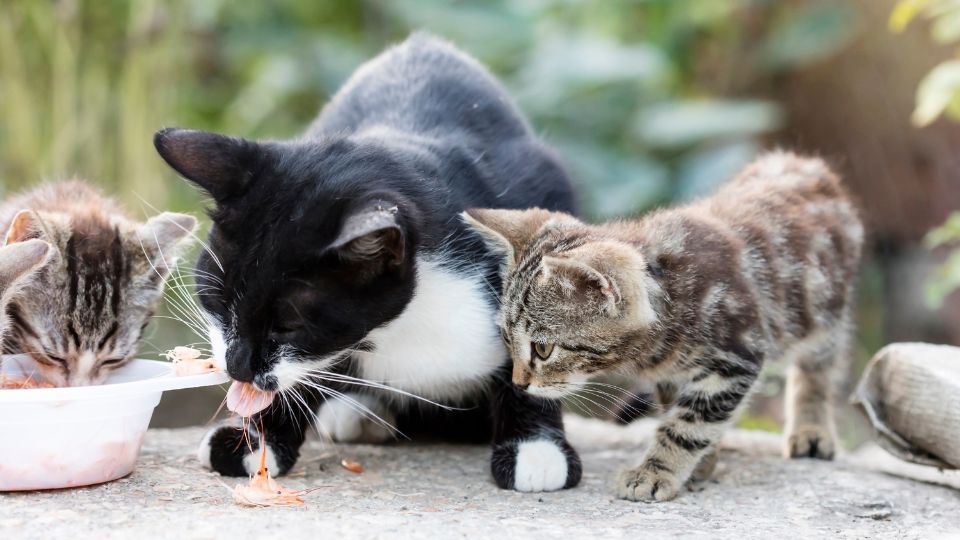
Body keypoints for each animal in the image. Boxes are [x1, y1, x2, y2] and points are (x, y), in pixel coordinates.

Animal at [154, 31, 580, 492]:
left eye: (289, 325)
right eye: (216, 301)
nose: (236, 367)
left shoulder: (539, 197)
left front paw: (537, 449)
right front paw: (254, 442)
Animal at [464, 152, 864, 502]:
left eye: (543, 348)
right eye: (506, 338)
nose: (518, 383)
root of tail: (803, 162)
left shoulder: (736, 357)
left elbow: (687, 424)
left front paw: (655, 472)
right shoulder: (674, 373)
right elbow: (677, 410)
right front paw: (702, 463)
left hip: (825, 312)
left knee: (819, 368)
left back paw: (812, 429)